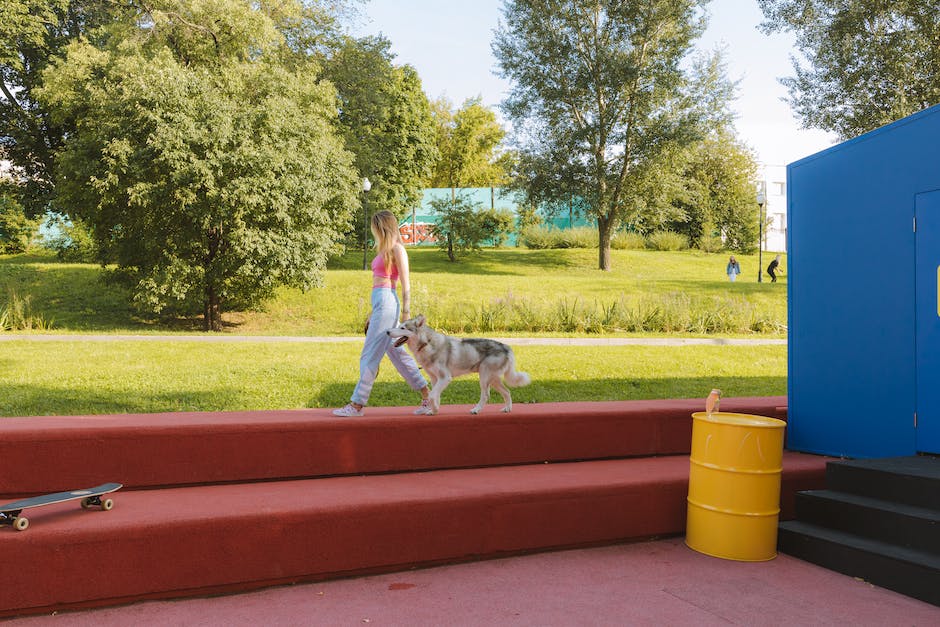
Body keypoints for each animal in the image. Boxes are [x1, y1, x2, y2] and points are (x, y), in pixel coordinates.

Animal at [388, 316, 528, 414]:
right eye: (399, 326)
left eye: (403, 328)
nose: (387, 332)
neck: (427, 344)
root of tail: (506, 347)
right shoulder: (435, 379)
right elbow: (436, 396)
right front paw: (434, 410)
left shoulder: (445, 378)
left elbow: (432, 395)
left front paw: (434, 409)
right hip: (493, 380)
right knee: (507, 392)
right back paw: (507, 409)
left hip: (484, 378)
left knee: (486, 395)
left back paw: (476, 410)